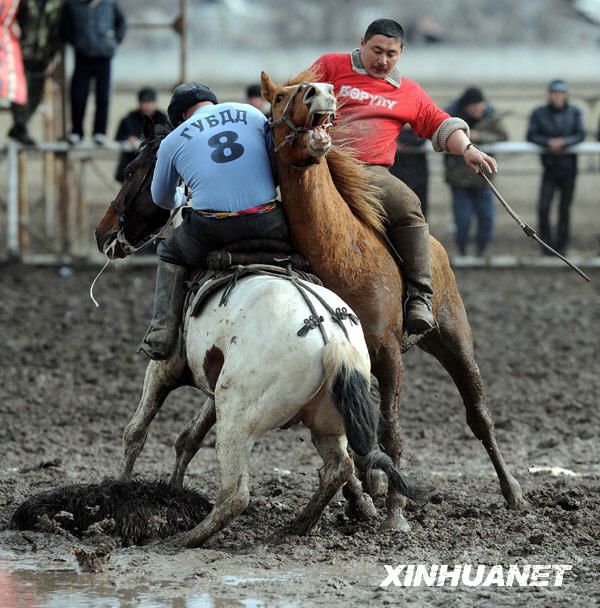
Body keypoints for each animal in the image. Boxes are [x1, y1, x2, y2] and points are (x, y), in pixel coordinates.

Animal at [260, 69, 528, 528]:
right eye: (279, 97)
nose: (320, 93)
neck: (342, 255)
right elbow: (348, 435)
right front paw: (362, 500)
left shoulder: (387, 353)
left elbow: (391, 431)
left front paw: (396, 513)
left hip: (453, 340)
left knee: (479, 416)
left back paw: (513, 493)